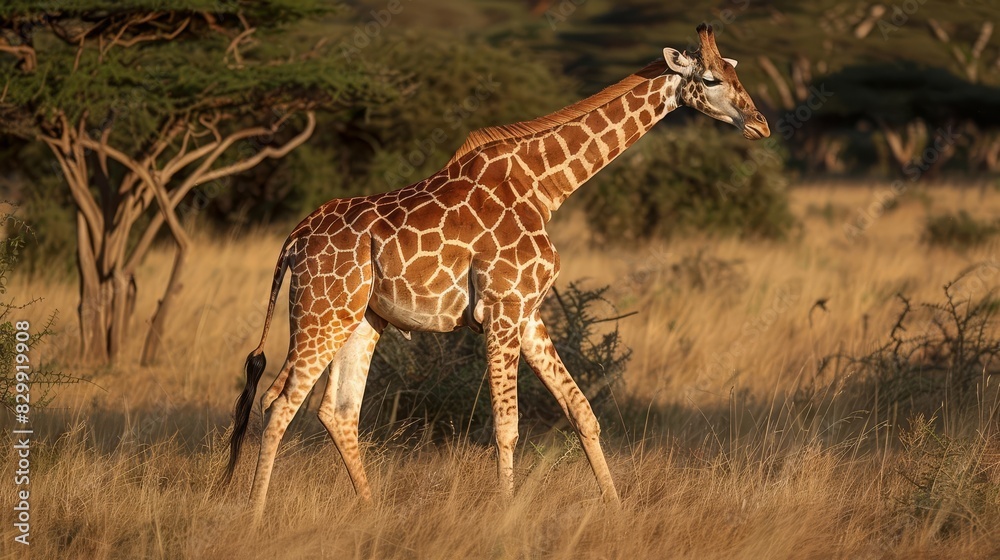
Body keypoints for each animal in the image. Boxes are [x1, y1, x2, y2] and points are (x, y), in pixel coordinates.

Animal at [224, 23, 769, 522]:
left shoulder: (528, 313)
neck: (547, 185)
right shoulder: (504, 310)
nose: (761, 125)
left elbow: (581, 410)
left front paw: (615, 511)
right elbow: (507, 425)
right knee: (278, 403)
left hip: (358, 319)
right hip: (321, 315)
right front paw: (506, 518)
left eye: (734, 70)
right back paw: (254, 516)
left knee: (335, 411)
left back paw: (371, 510)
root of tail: (295, 240)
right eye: (712, 78)